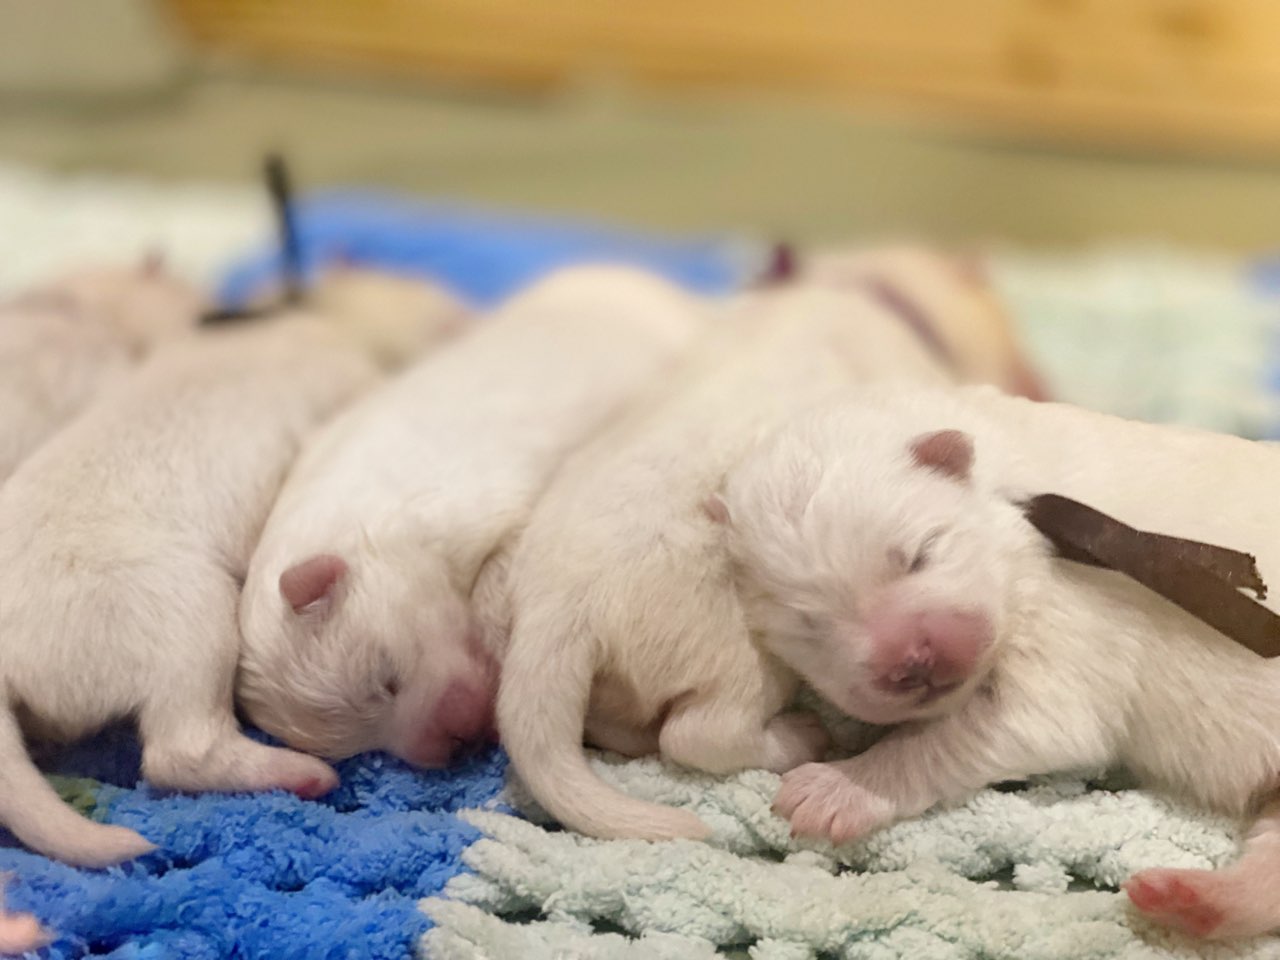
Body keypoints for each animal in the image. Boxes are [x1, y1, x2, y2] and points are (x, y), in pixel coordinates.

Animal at [235, 264, 706, 773]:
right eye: (360, 748)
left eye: (386, 679)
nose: (452, 744)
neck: (366, 526)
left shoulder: (493, 515)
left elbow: (495, 589)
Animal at [716, 384, 1280, 942]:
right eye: (809, 625)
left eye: (921, 553)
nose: (913, 663)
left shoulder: (1065, 631)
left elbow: (941, 739)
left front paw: (836, 788)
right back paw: (1191, 900)